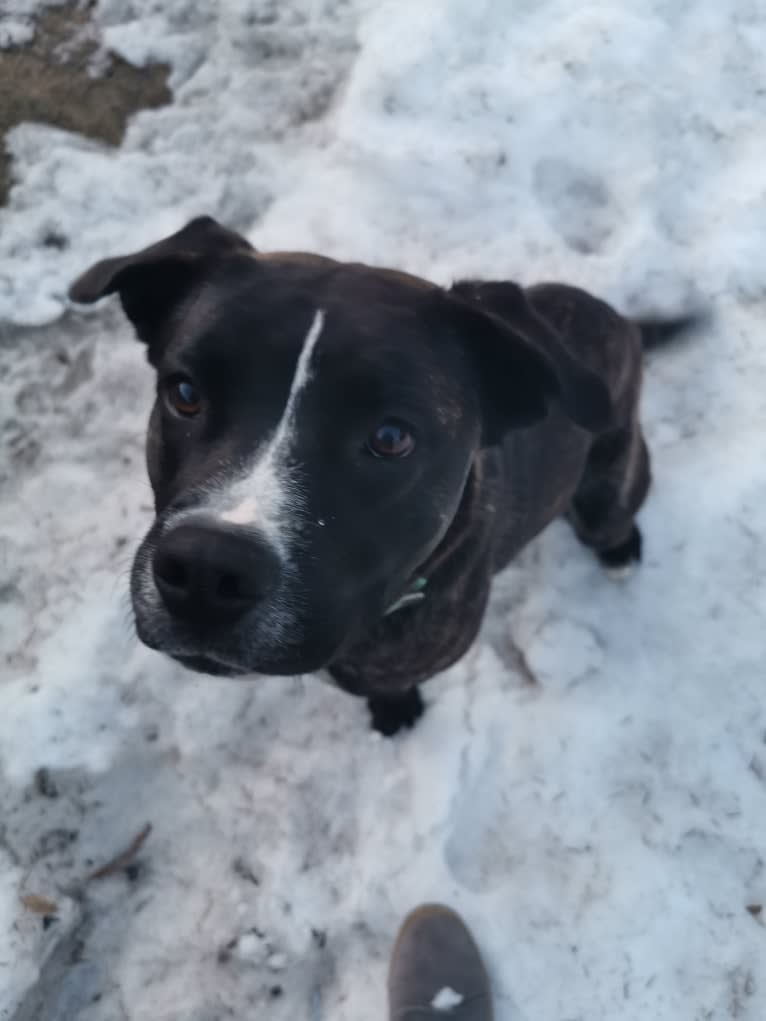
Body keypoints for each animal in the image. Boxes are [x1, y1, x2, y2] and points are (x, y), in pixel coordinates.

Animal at [70, 215, 694, 735]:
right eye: (185, 393)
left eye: (392, 437)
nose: (205, 570)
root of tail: (618, 318)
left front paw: (395, 710)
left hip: (607, 487)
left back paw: (620, 553)